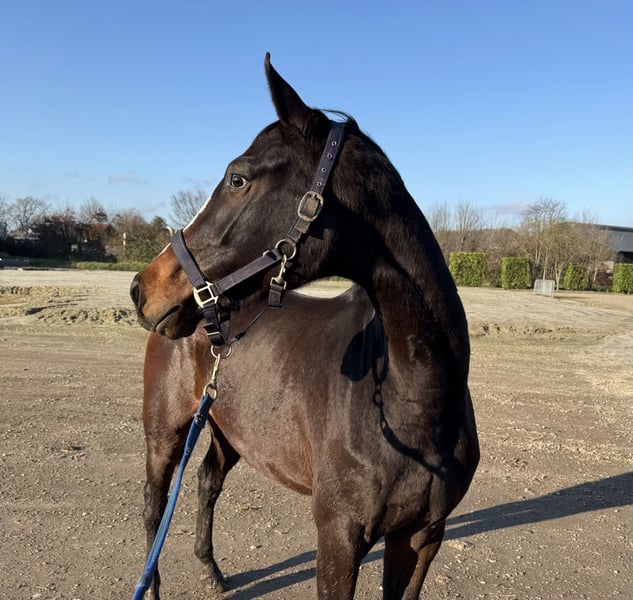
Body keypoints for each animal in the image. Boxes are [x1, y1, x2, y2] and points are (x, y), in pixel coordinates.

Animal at [131, 54, 479, 599]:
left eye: (238, 179)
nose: (144, 288)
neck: (413, 398)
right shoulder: (339, 536)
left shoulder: (423, 536)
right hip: (165, 430)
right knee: (155, 502)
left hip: (229, 430)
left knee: (207, 482)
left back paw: (212, 570)